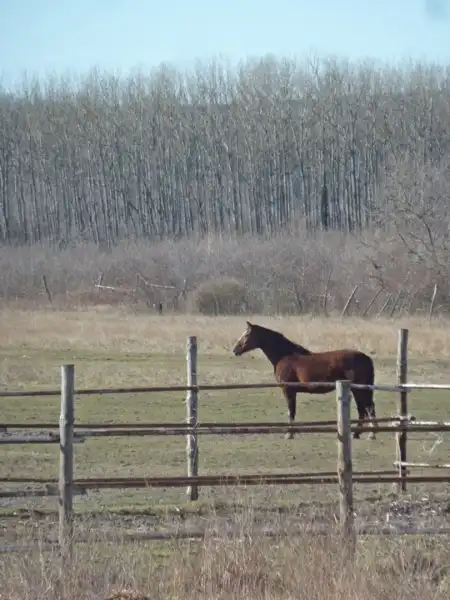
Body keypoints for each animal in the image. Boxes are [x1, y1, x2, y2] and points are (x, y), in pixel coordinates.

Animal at [232, 324, 376, 440]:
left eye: (247, 334)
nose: (235, 350)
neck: (285, 356)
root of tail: (366, 358)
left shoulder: (288, 390)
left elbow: (291, 412)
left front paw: (289, 434)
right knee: (367, 408)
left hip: (358, 389)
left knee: (365, 408)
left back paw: (365, 434)